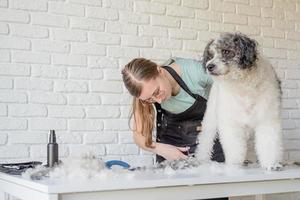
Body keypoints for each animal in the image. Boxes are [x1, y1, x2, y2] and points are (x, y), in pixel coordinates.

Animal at [197, 32, 284, 170]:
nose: (209, 66)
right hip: (210, 117)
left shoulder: (268, 119)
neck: (242, 84)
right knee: (205, 139)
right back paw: (202, 158)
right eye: (210, 55)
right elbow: (234, 147)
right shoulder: (231, 122)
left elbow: (269, 143)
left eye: (226, 51)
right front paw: (234, 164)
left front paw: (271, 164)